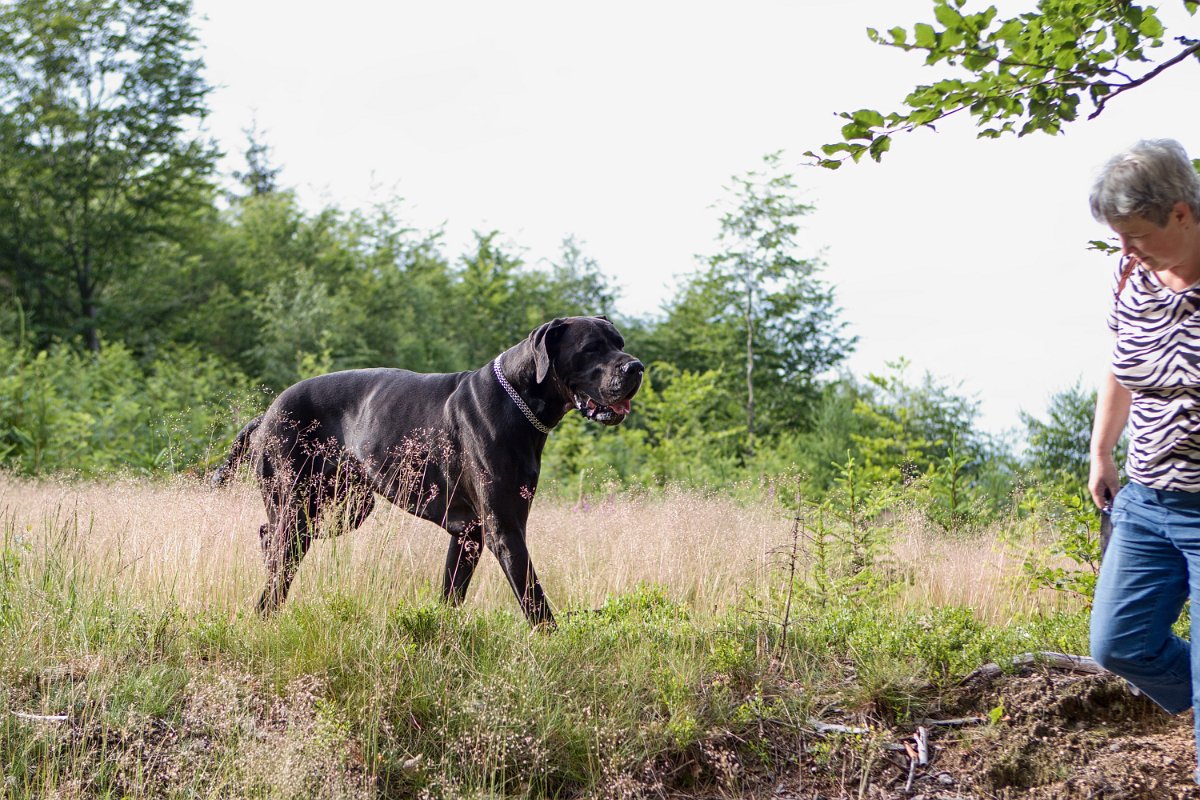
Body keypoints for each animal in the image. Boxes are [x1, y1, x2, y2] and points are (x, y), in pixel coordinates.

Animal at [216, 316, 648, 628]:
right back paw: (266, 612)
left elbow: (451, 594)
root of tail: (267, 413)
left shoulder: (470, 534)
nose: (637, 366)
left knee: (269, 536)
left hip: (346, 507)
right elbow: (535, 600)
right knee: (280, 552)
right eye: (591, 347)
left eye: (620, 343)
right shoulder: (505, 531)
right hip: (300, 505)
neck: (518, 400)